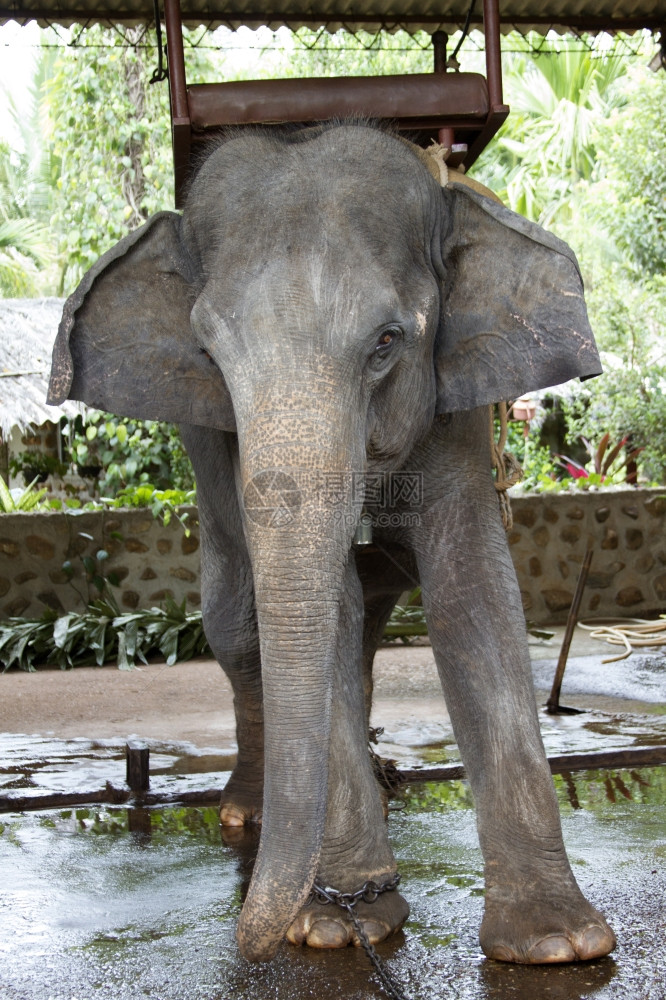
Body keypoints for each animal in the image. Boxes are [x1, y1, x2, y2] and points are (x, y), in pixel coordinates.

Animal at [49, 121, 616, 964]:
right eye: (210, 355)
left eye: (387, 341)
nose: (251, 940)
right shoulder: (225, 442)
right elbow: (326, 607)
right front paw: (341, 923)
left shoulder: (454, 407)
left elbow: (474, 591)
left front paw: (556, 943)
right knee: (234, 622)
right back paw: (250, 817)